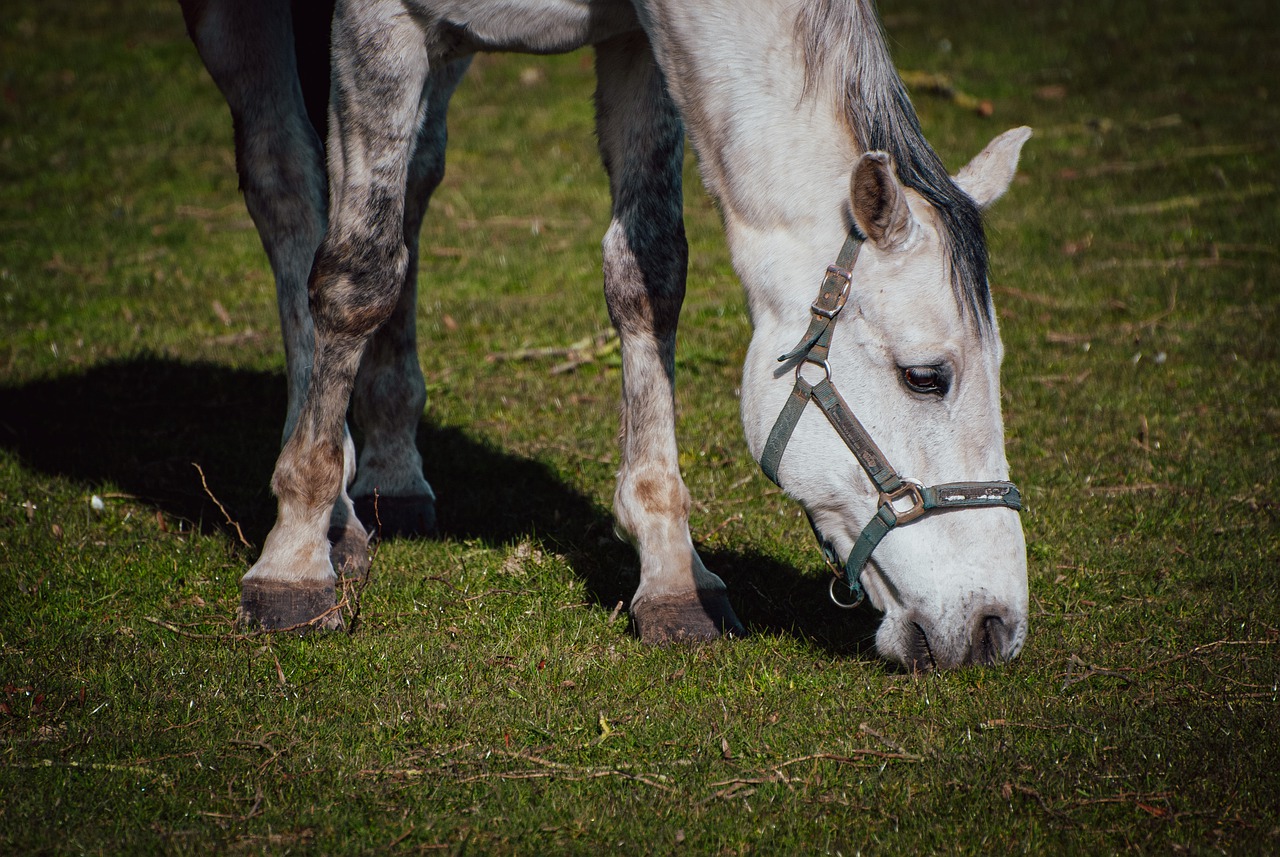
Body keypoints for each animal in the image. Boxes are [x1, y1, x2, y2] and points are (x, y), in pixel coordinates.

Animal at [180, 0, 1034, 670]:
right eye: (925, 375)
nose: (996, 626)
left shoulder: (636, 43)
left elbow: (648, 273)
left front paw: (671, 571)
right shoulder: (379, 21)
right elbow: (356, 276)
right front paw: (295, 558)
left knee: (410, 182)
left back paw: (389, 469)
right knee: (291, 187)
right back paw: (329, 512)